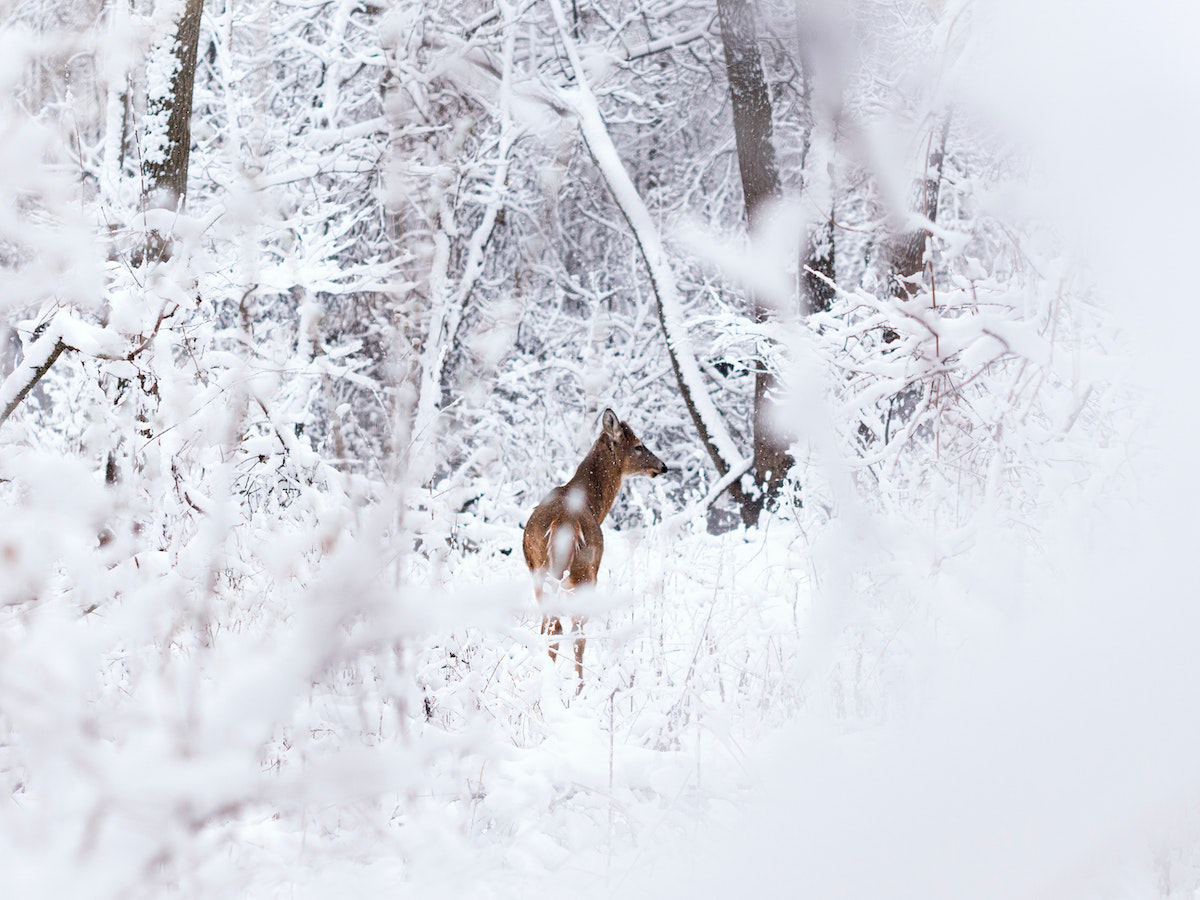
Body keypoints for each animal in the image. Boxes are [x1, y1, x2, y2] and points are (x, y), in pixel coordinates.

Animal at [523, 408, 672, 691]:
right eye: (638, 445)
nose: (662, 466)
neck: (593, 503)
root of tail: (564, 523)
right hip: (585, 573)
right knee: (573, 632)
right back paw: (579, 687)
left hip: (540, 571)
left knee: (550, 625)